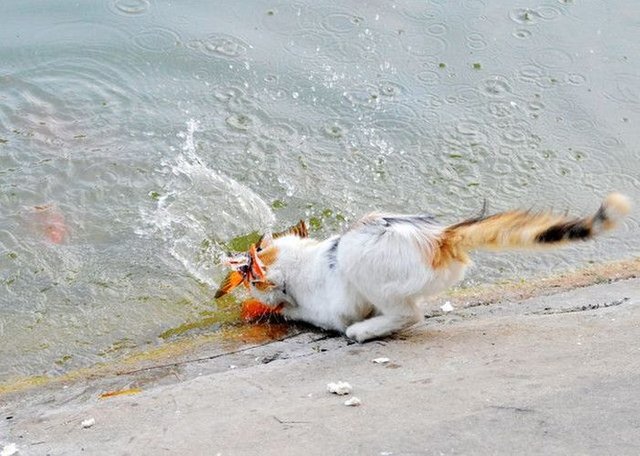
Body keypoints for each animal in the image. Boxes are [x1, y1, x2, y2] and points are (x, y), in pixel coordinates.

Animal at [214, 193, 632, 342]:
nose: (240, 269)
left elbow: (297, 310)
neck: (305, 260)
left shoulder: (327, 307)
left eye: (251, 277)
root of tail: (442, 236)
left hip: (360, 261)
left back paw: (363, 332)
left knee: (411, 315)